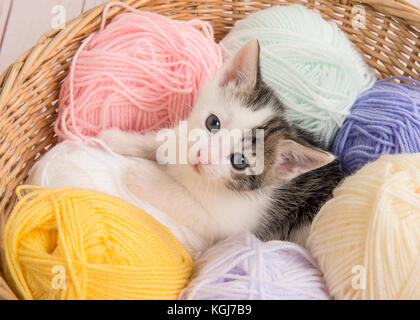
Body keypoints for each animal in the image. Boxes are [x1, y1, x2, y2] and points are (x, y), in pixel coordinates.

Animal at [100, 37, 342, 248]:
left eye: (240, 161)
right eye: (212, 122)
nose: (201, 157)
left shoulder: (226, 223)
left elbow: (184, 202)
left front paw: (145, 177)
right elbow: (166, 141)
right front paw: (118, 139)